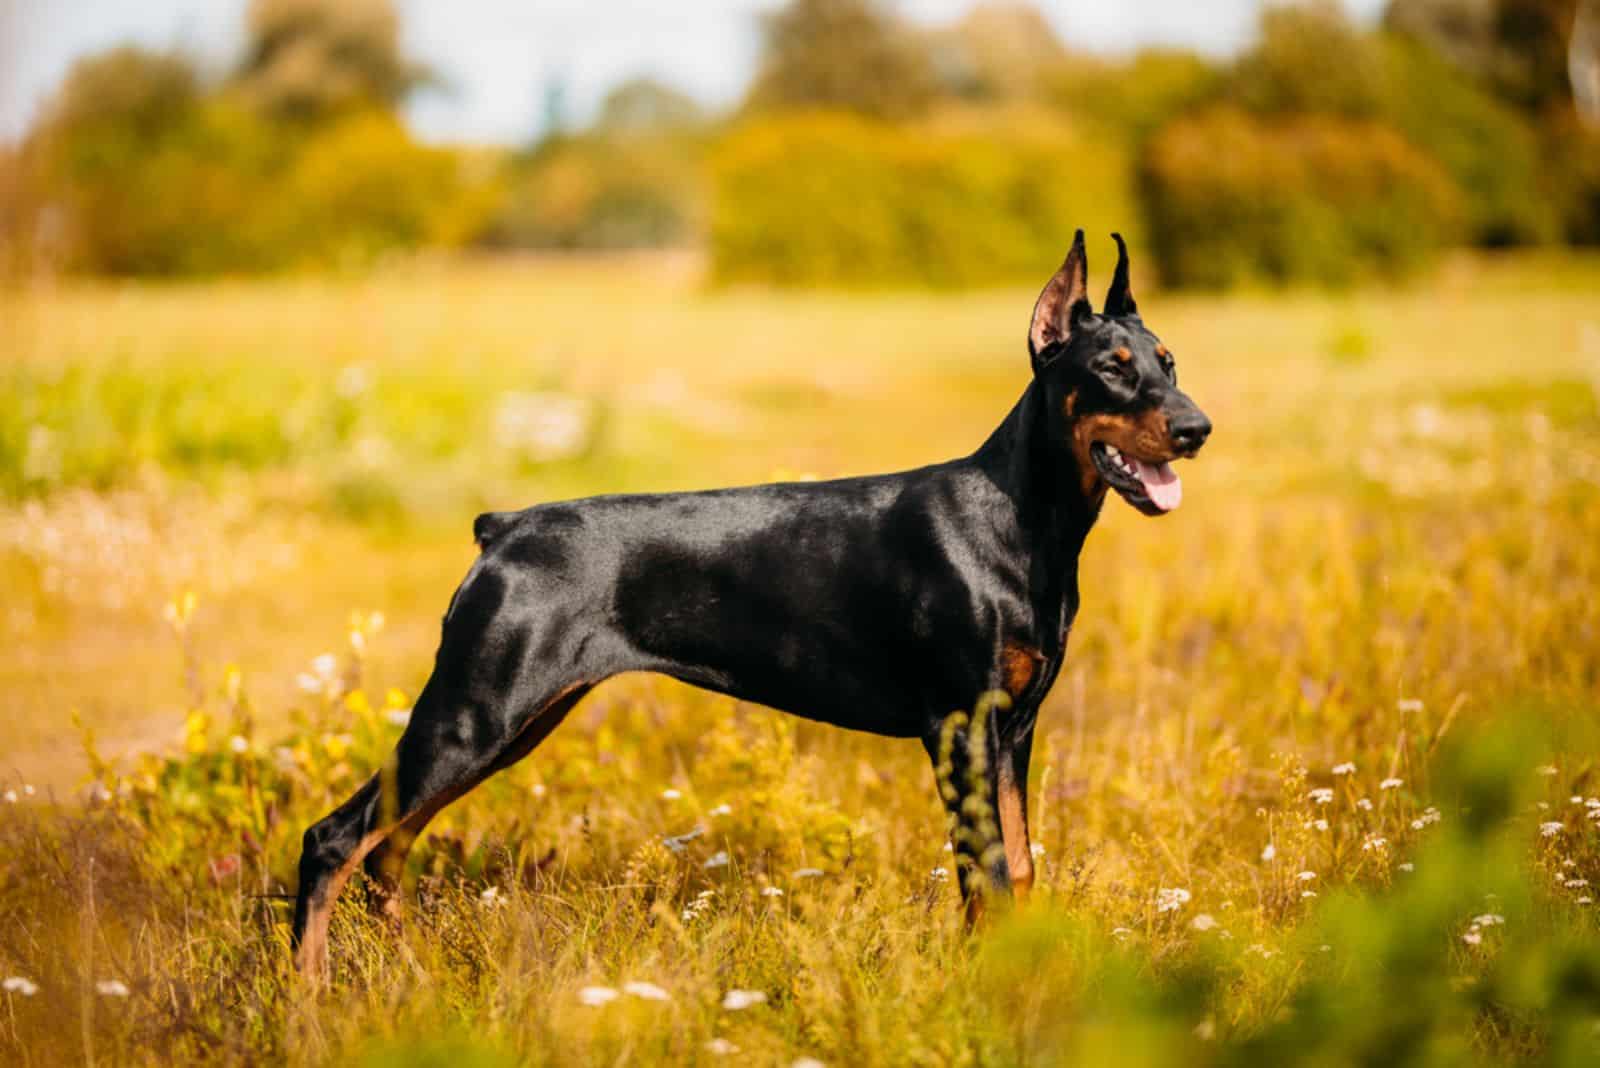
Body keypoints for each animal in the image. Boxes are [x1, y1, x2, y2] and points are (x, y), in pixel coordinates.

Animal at [291, 230, 1209, 972]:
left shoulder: (1014, 728)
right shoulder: (960, 728)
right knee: (334, 840)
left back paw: (410, 978)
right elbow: (982, 874)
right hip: (475, 714)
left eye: (1169, 362)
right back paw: (310, 1001)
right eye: (1111, 369)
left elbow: (1017, 864)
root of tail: (502, 528)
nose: (1197, 428)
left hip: (515, 724)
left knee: (387, 849)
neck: (1021, 517)